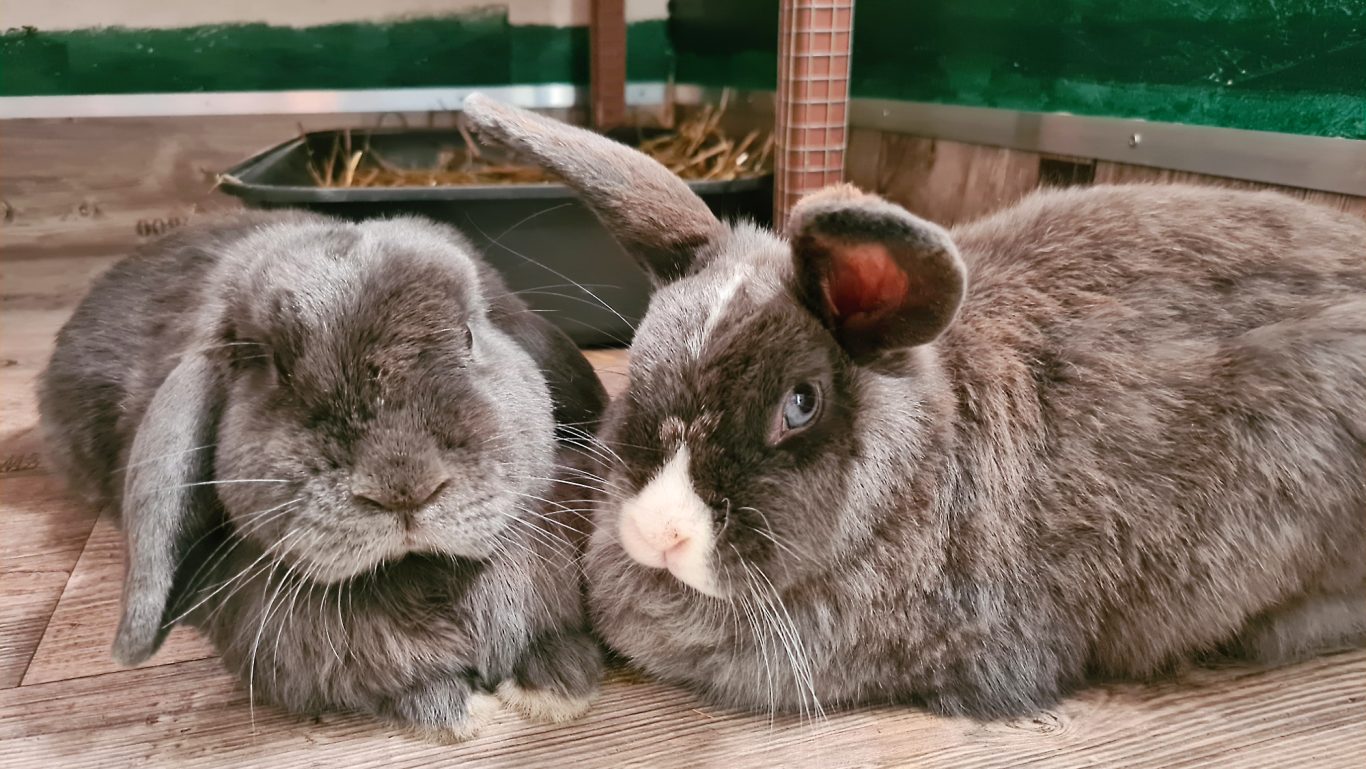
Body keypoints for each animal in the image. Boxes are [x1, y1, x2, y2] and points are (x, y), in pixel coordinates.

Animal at [37, 209, 609, 739]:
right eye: (274, 365)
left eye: (469, 336)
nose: (403, 488)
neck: (423, 571)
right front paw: (456, 710)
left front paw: (557, 684)